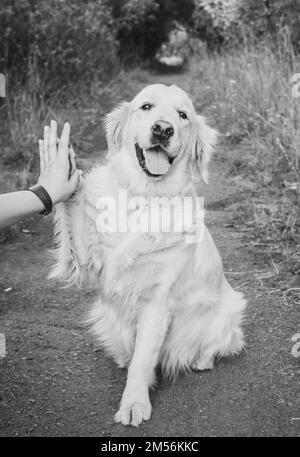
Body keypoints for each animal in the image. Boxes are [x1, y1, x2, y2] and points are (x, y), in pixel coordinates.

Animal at [49, 83, 246, 426]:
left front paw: (134, 403)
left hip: (230, 309)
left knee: (221, 341)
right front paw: (61, 168)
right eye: (146, 107)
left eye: (183, 115)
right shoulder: (87, 262)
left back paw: (202, 360)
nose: (163, 129)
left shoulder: (157, 301)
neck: (145, 196)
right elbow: (72, 211)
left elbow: (143, 359)